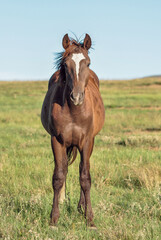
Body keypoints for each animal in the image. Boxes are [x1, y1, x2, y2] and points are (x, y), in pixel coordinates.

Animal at [41, 33, 105, 227]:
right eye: (65, 64)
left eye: (88, 63)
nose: (76, 97)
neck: (74, 111)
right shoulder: (57, 140)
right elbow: (59, 176)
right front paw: (54, 219)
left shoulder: (87, 141)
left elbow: (85, 177)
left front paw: (89, 219)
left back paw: (81, 207)